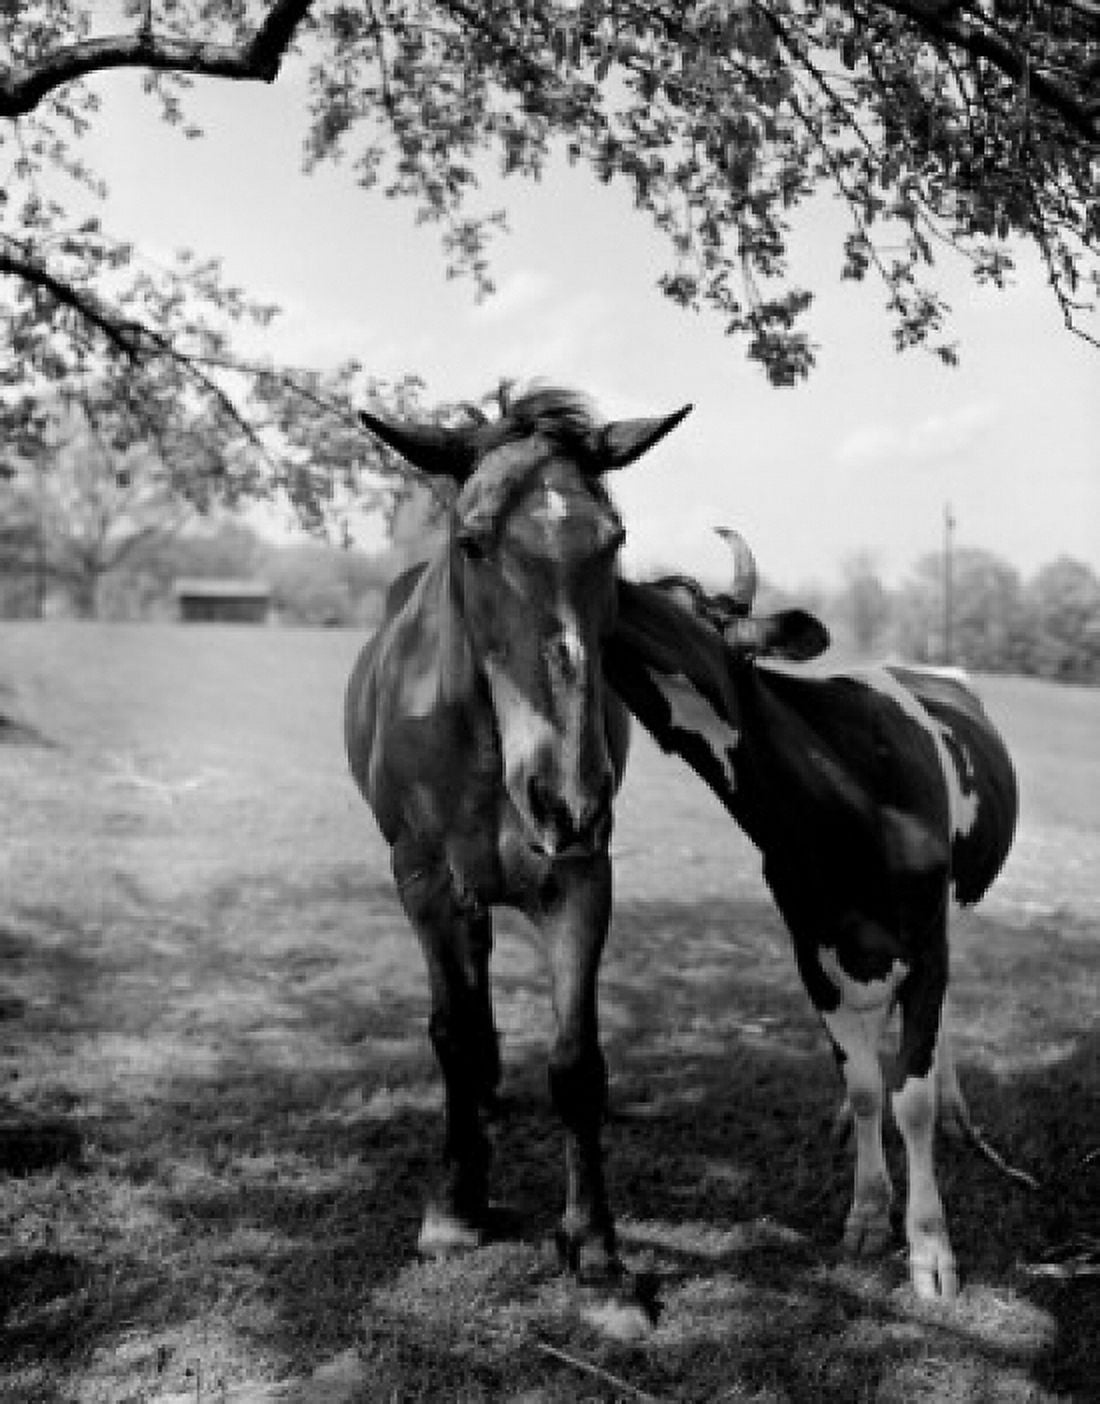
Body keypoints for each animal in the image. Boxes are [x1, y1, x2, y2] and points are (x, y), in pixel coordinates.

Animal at [345, 386, 690, 1271]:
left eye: (615, 539)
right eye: (471, 540)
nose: (563, 794)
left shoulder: (582, 874)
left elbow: (575, 1062)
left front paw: (594, 1242)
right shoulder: (428, 882)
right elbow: (455, 1037)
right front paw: (456, 1206)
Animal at [603, 532, 1019, 1299]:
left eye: (695, 604)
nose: (597, 582)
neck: (842, 812)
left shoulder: (927, 943)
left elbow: (910, 1098)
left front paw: (930, 1247)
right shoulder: (812, 949)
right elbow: (866, 1088)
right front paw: (868, 1210)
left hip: (958, 914)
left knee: (938, 1032)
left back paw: (954, 1108)